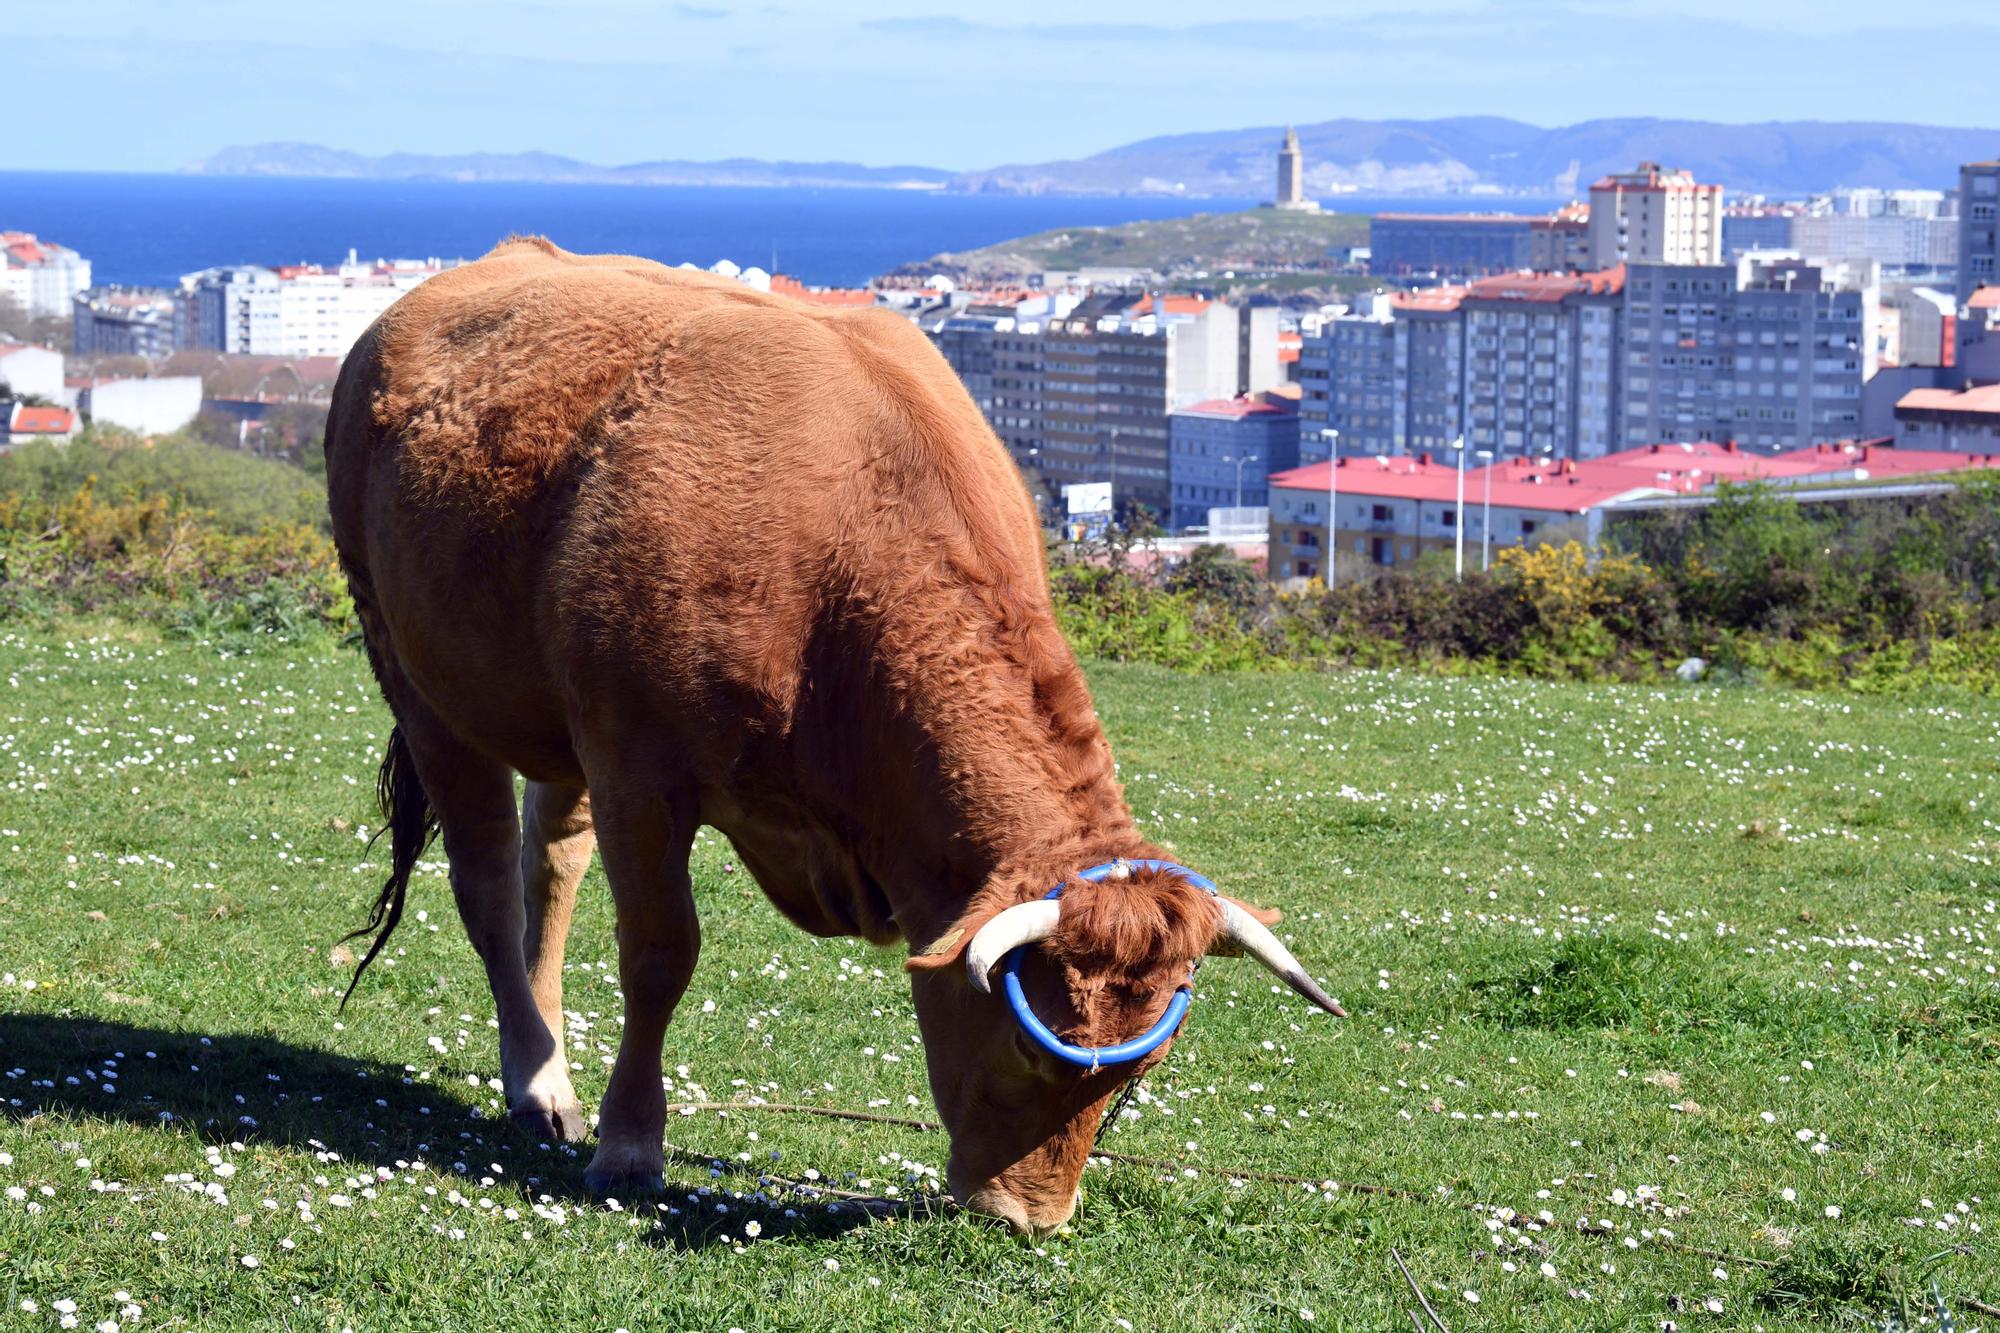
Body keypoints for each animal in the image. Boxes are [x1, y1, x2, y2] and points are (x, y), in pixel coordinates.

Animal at [324, 239, 1344, 1232]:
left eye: (1135, 1076)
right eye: (1033, 1046)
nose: (1029, 1220)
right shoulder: (637, 769)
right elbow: (659, 953)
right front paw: (631, 1145)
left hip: (552, 716)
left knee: (551, 867)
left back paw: (546, 1074)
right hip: (414, 673)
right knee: (490, 884)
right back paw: (535, 1081)